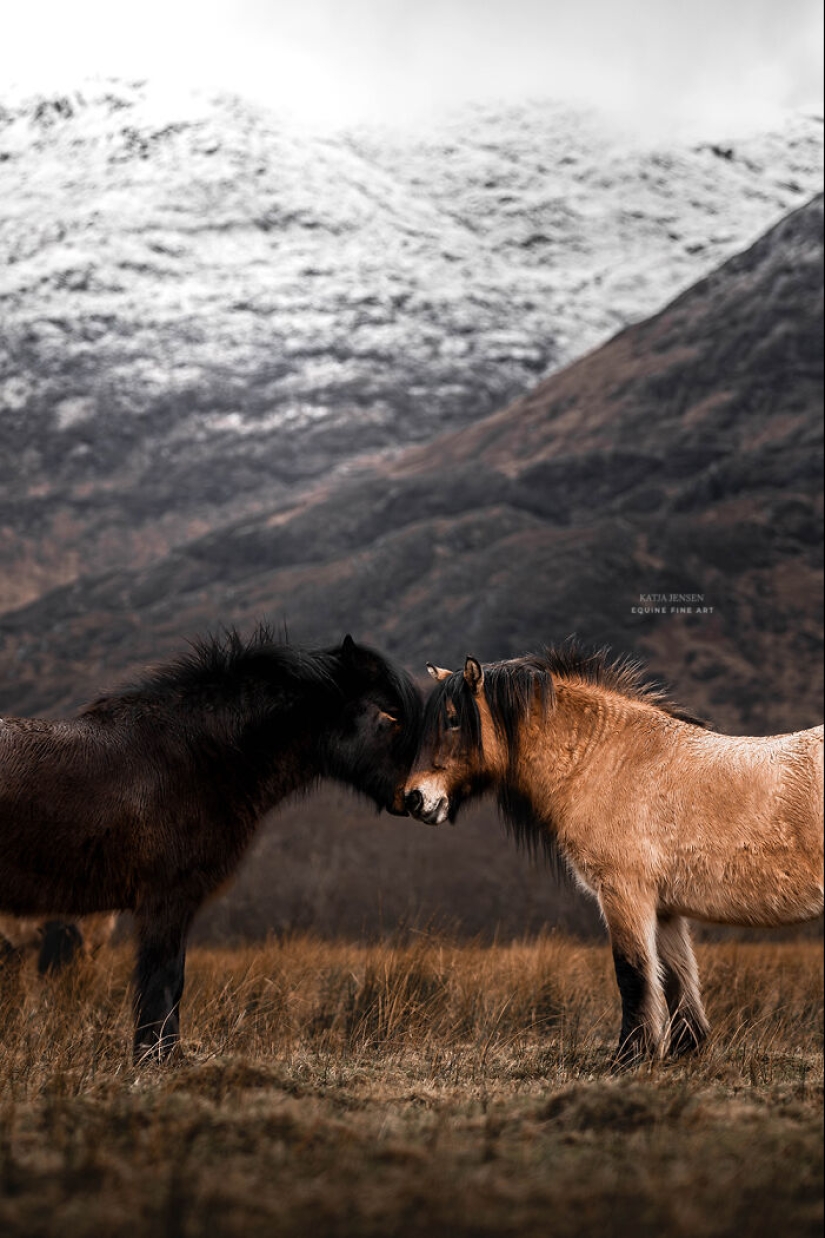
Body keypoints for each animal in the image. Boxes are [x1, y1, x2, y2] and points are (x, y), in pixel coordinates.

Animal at [0, 628, 422, 1060]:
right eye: (390, 716)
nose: (418, 797)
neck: (196, 759)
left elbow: (172, 984)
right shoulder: (166, 903)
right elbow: (163, 982)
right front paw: (155, 1057)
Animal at [403, 646, 824, 1064]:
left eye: (453, 720)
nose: (414, 798)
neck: (608, 760)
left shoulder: (624, 893)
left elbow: (632, 972)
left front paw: (629, 1056)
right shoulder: (664, 908)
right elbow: (677, 976)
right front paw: (684, 1051)